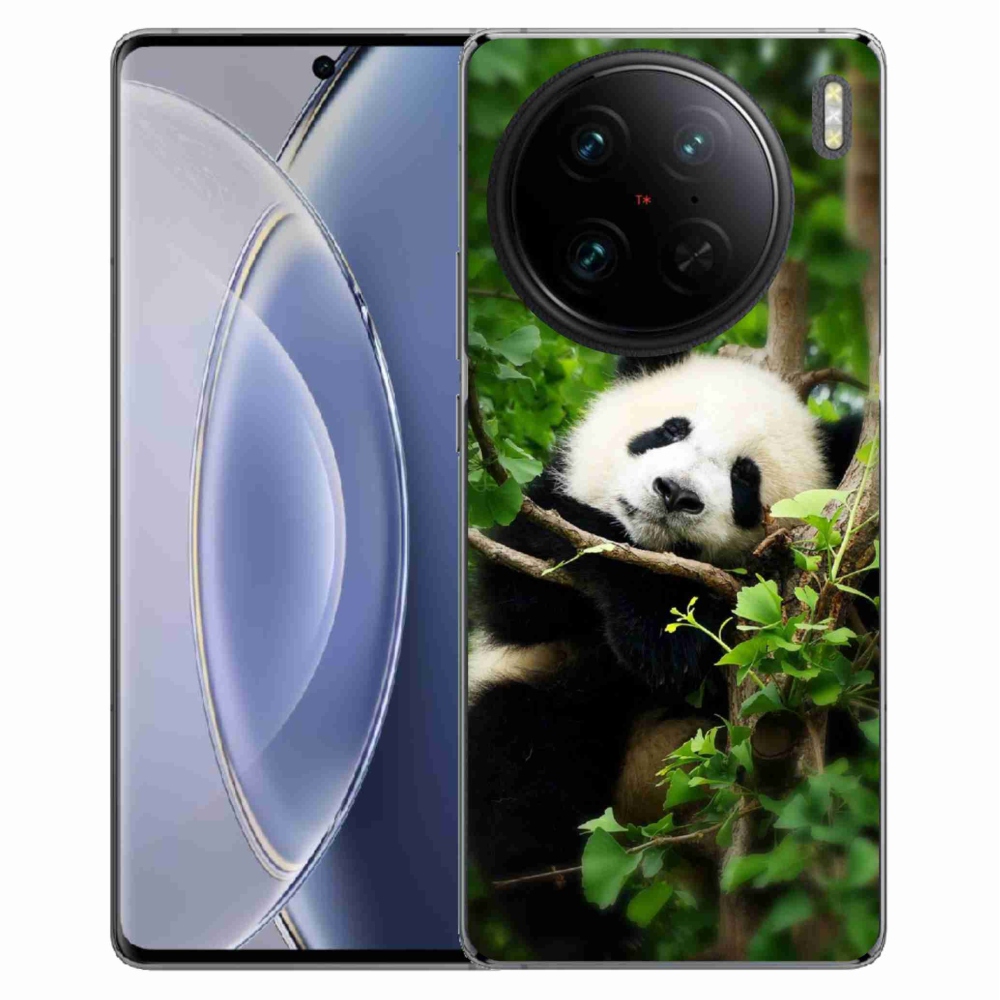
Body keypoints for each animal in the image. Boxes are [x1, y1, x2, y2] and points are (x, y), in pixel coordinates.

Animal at [467, 352, 862, 960]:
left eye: (745, 478)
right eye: (672, 430)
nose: (675, 493)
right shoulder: (525, 538)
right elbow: (522, 590)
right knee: (524, 777)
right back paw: (588, 934)